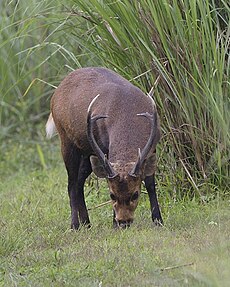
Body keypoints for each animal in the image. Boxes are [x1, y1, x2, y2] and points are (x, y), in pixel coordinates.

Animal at [45, 67, 163, 230]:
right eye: (112, 195)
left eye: (135, 194)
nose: (123, 221)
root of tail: (57, 91)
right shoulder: (103, 147)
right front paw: (114, 224)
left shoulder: (153, 146)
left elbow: (151, 184)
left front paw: (158, 220)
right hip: (66, 139)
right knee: (71, 184)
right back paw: (75, 225)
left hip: (88, 151)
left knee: (79, 182)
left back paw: (87, 223)